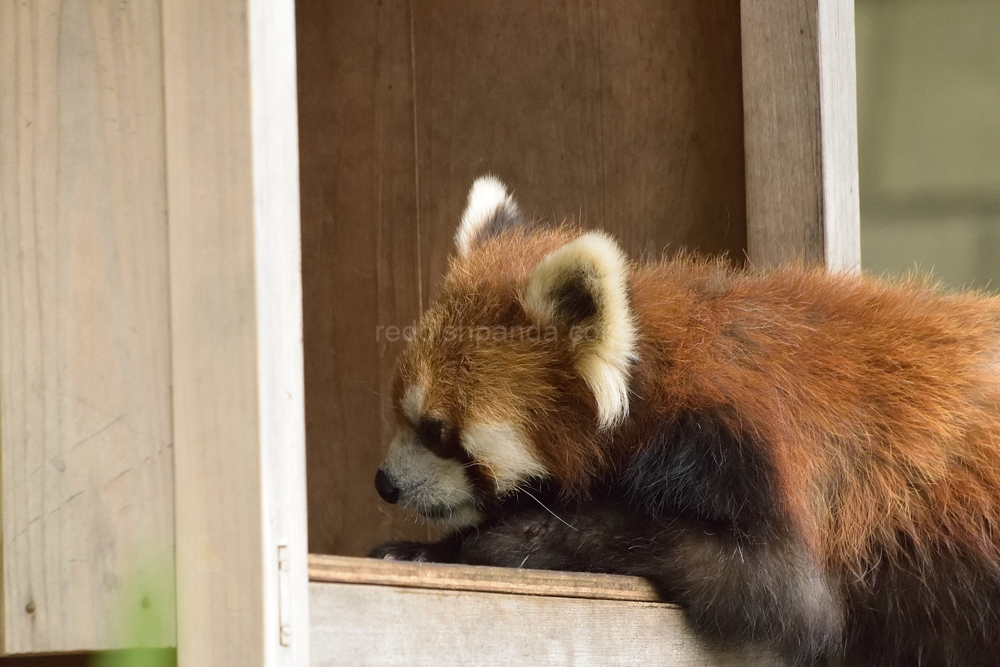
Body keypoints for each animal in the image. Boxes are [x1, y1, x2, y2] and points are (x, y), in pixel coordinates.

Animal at [372, 177, 1000, 667]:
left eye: (436, 429)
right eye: (401, 410)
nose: (385, 483)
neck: (661, 376)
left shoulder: (742, 444)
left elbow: (784, 596)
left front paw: (499, 541)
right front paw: (426, 547)